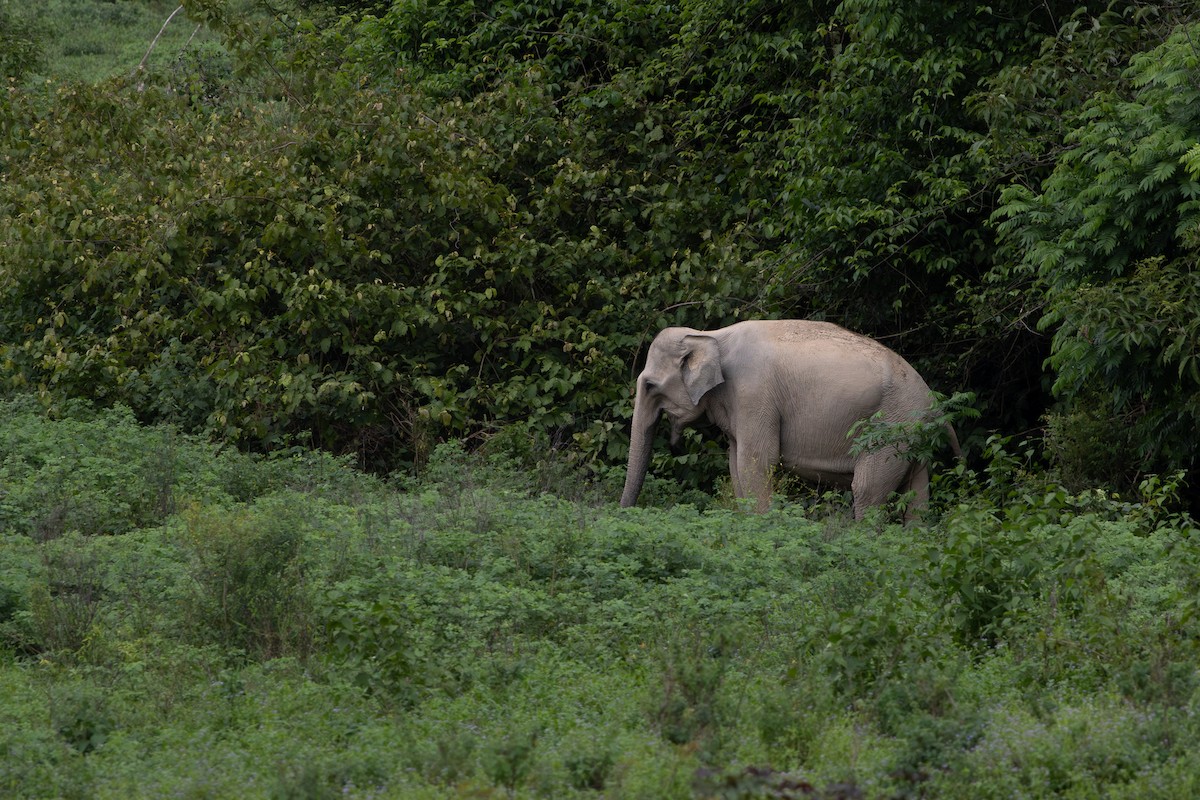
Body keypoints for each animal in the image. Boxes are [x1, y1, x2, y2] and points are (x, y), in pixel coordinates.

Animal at [619, 320, 959, 519]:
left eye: (649, 386)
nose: (624, 514)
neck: (710, 335)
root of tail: (936, 405)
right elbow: (736, 465)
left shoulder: (754, 395)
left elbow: (758, 461)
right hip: (913, 436)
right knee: (918, 495)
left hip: (890, 430)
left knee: (867, 490)